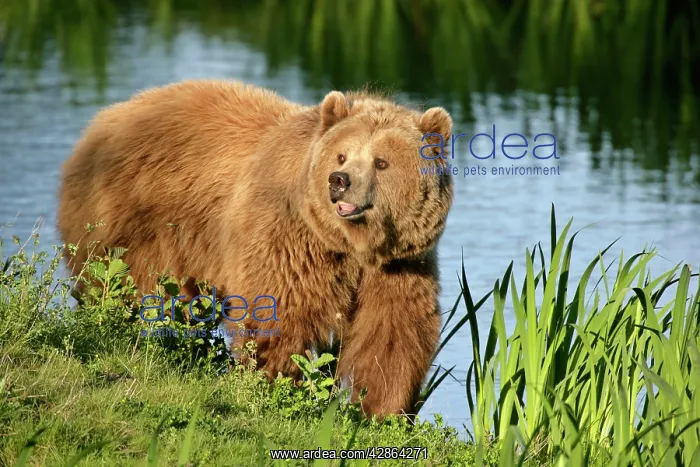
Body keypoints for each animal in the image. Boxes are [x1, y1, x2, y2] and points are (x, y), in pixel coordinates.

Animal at [57, 80, 454, 419]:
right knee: (111, 285)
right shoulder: (290, 237)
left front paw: (382, 411)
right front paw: (275, 383)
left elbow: (392, 335)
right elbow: (278, 311)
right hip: (128, 222)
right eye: (342, 155)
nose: (339, 181)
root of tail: (106, 116)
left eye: (382, 162)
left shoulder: (399, 264)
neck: (351, 245)